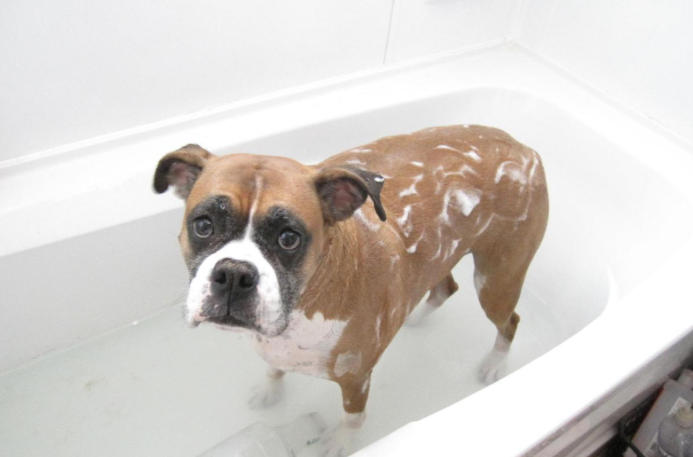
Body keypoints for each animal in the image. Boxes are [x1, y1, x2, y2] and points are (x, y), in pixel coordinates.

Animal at [153, 124, 548, 456]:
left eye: (289, 237)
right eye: (204, 225)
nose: (234, 274)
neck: (300, 310)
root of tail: (522, 147)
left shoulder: (356, 380)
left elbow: (352, 418)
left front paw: (340, 444)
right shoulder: (275, 349)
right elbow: (273, 370)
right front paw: (269, 391)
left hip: (497, 281)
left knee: (509, 322)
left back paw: (494, 365)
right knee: (445, 288)